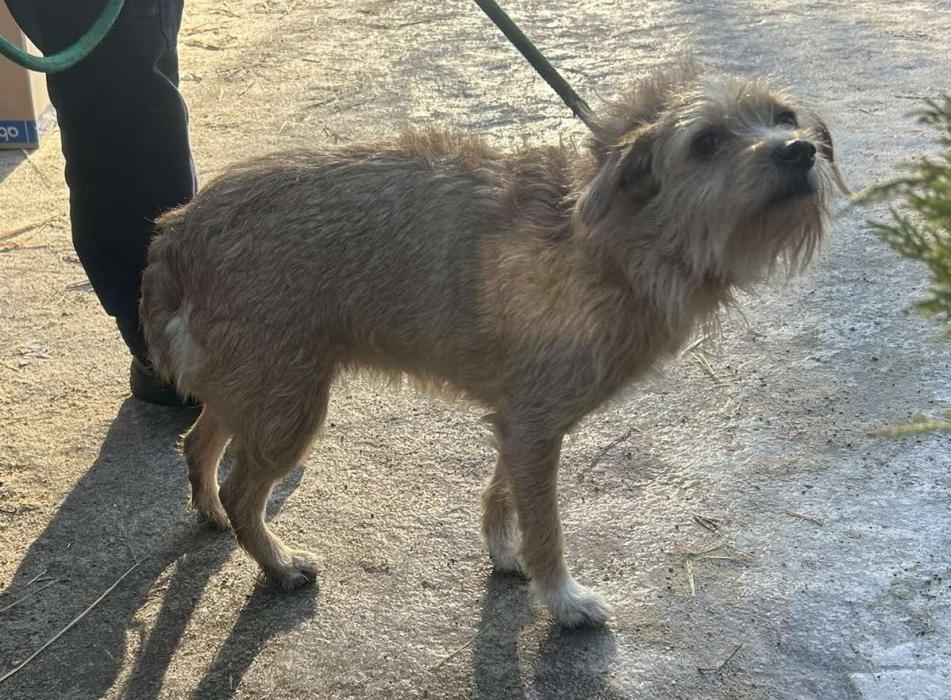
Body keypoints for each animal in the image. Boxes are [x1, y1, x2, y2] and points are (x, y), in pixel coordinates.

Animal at [140, 60, 846, 626]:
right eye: (707, 142)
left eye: (783, 116)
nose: (798, 150)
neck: (608, 238)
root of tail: (181, 227)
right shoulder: (535, 424)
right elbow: (547, 525)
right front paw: (562, 599)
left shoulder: (525, 420)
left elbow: (505, 492)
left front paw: (505, 552)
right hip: (291, 405)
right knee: (244, 491)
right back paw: (278, 564)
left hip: (252, 387)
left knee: (199, 441)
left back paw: (208, 511)